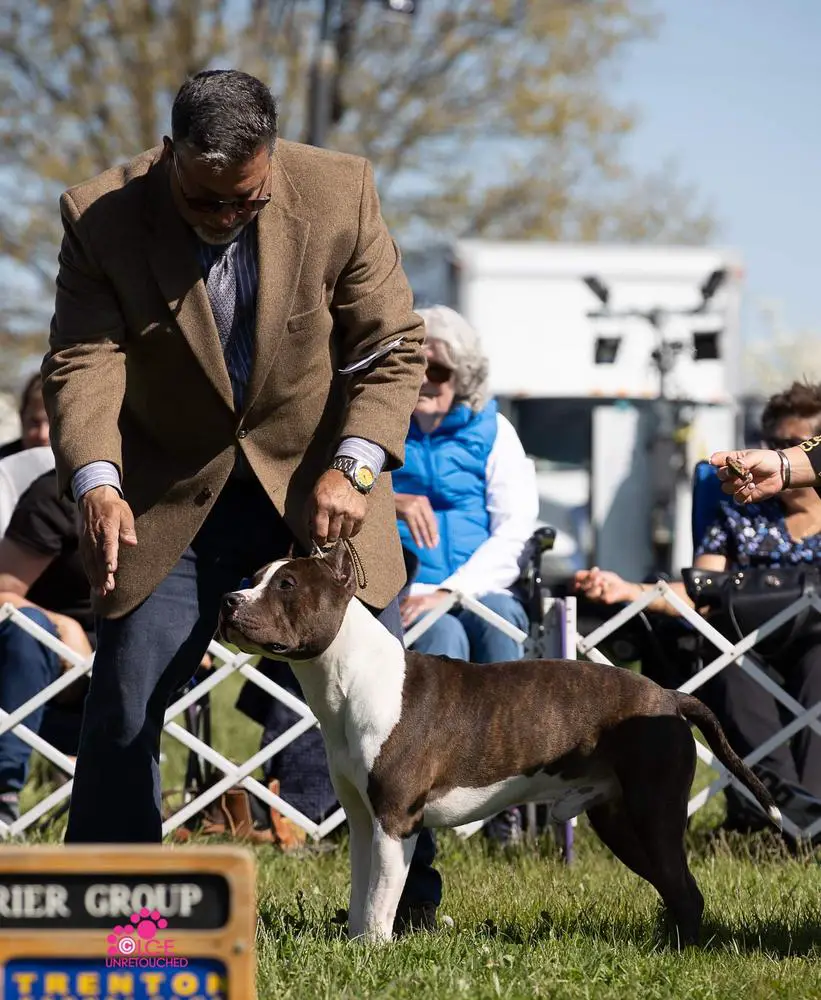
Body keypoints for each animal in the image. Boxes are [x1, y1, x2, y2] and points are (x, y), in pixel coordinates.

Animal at [219, 544, 780, 940]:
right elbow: (362, 894)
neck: (352, 677)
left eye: (287, 583)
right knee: (672, 885)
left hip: (653, 809)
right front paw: (356, 944)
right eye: (252, 577)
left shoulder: (396, 821)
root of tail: (669, 695)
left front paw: (374, 952)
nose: (229, 600)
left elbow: (381, 898)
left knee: (684, 889)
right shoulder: (362, 819)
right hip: (620, 819)